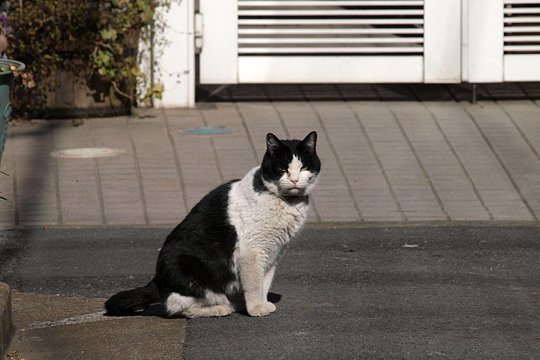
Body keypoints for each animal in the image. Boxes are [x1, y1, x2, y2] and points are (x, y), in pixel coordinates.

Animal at [105, 132, 320, 318]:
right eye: (283, 169)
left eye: (303, 168)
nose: (294, 179)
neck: (287, 202)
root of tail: (157, 280)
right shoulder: (252, 250)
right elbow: (254, 283)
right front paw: (256, 308)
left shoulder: (273, 252)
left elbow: (264, 281)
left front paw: (261, 302)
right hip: (190, 270)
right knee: (176, 306)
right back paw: (220, 308)